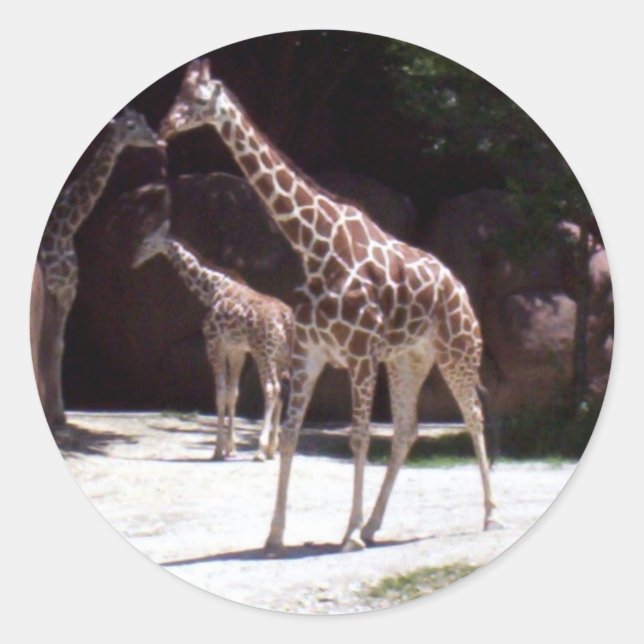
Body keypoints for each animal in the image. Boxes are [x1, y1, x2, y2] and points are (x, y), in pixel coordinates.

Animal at [34, 109, 164, 428]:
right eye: (130, 126)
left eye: (143, 120)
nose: (156, 139)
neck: (66, 228)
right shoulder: (56, 289)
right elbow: (50, 345)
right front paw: (56, 413)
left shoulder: (67, 292)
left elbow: (56, 346)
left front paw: (57, 414)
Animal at [132, 220, 293, 461]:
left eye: (147, 242)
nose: (133, 260)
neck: (211, 288)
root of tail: (286, 317)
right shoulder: (236, 350)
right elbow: (233, 393)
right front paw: (231, 448)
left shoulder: (214, 344)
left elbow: (219, 394)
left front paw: (218, 449)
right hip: (282, 355)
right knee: (282, 390)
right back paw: (273, 449)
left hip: (263, 352)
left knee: (272, 388)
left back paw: (261, 449)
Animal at [159, 59, 501, 553]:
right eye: (178, 94)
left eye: (200, 98)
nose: (165, 126)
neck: (317, 247)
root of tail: (461, 291)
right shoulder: (310, 353)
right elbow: (290, 436)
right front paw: (275, 534)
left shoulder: (359, 355)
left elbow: (358, 437)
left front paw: (348, 534)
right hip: (408, 360)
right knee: (407, 430)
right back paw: (375, 524)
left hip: (458, 352)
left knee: (473, 416)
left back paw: (490, 515)